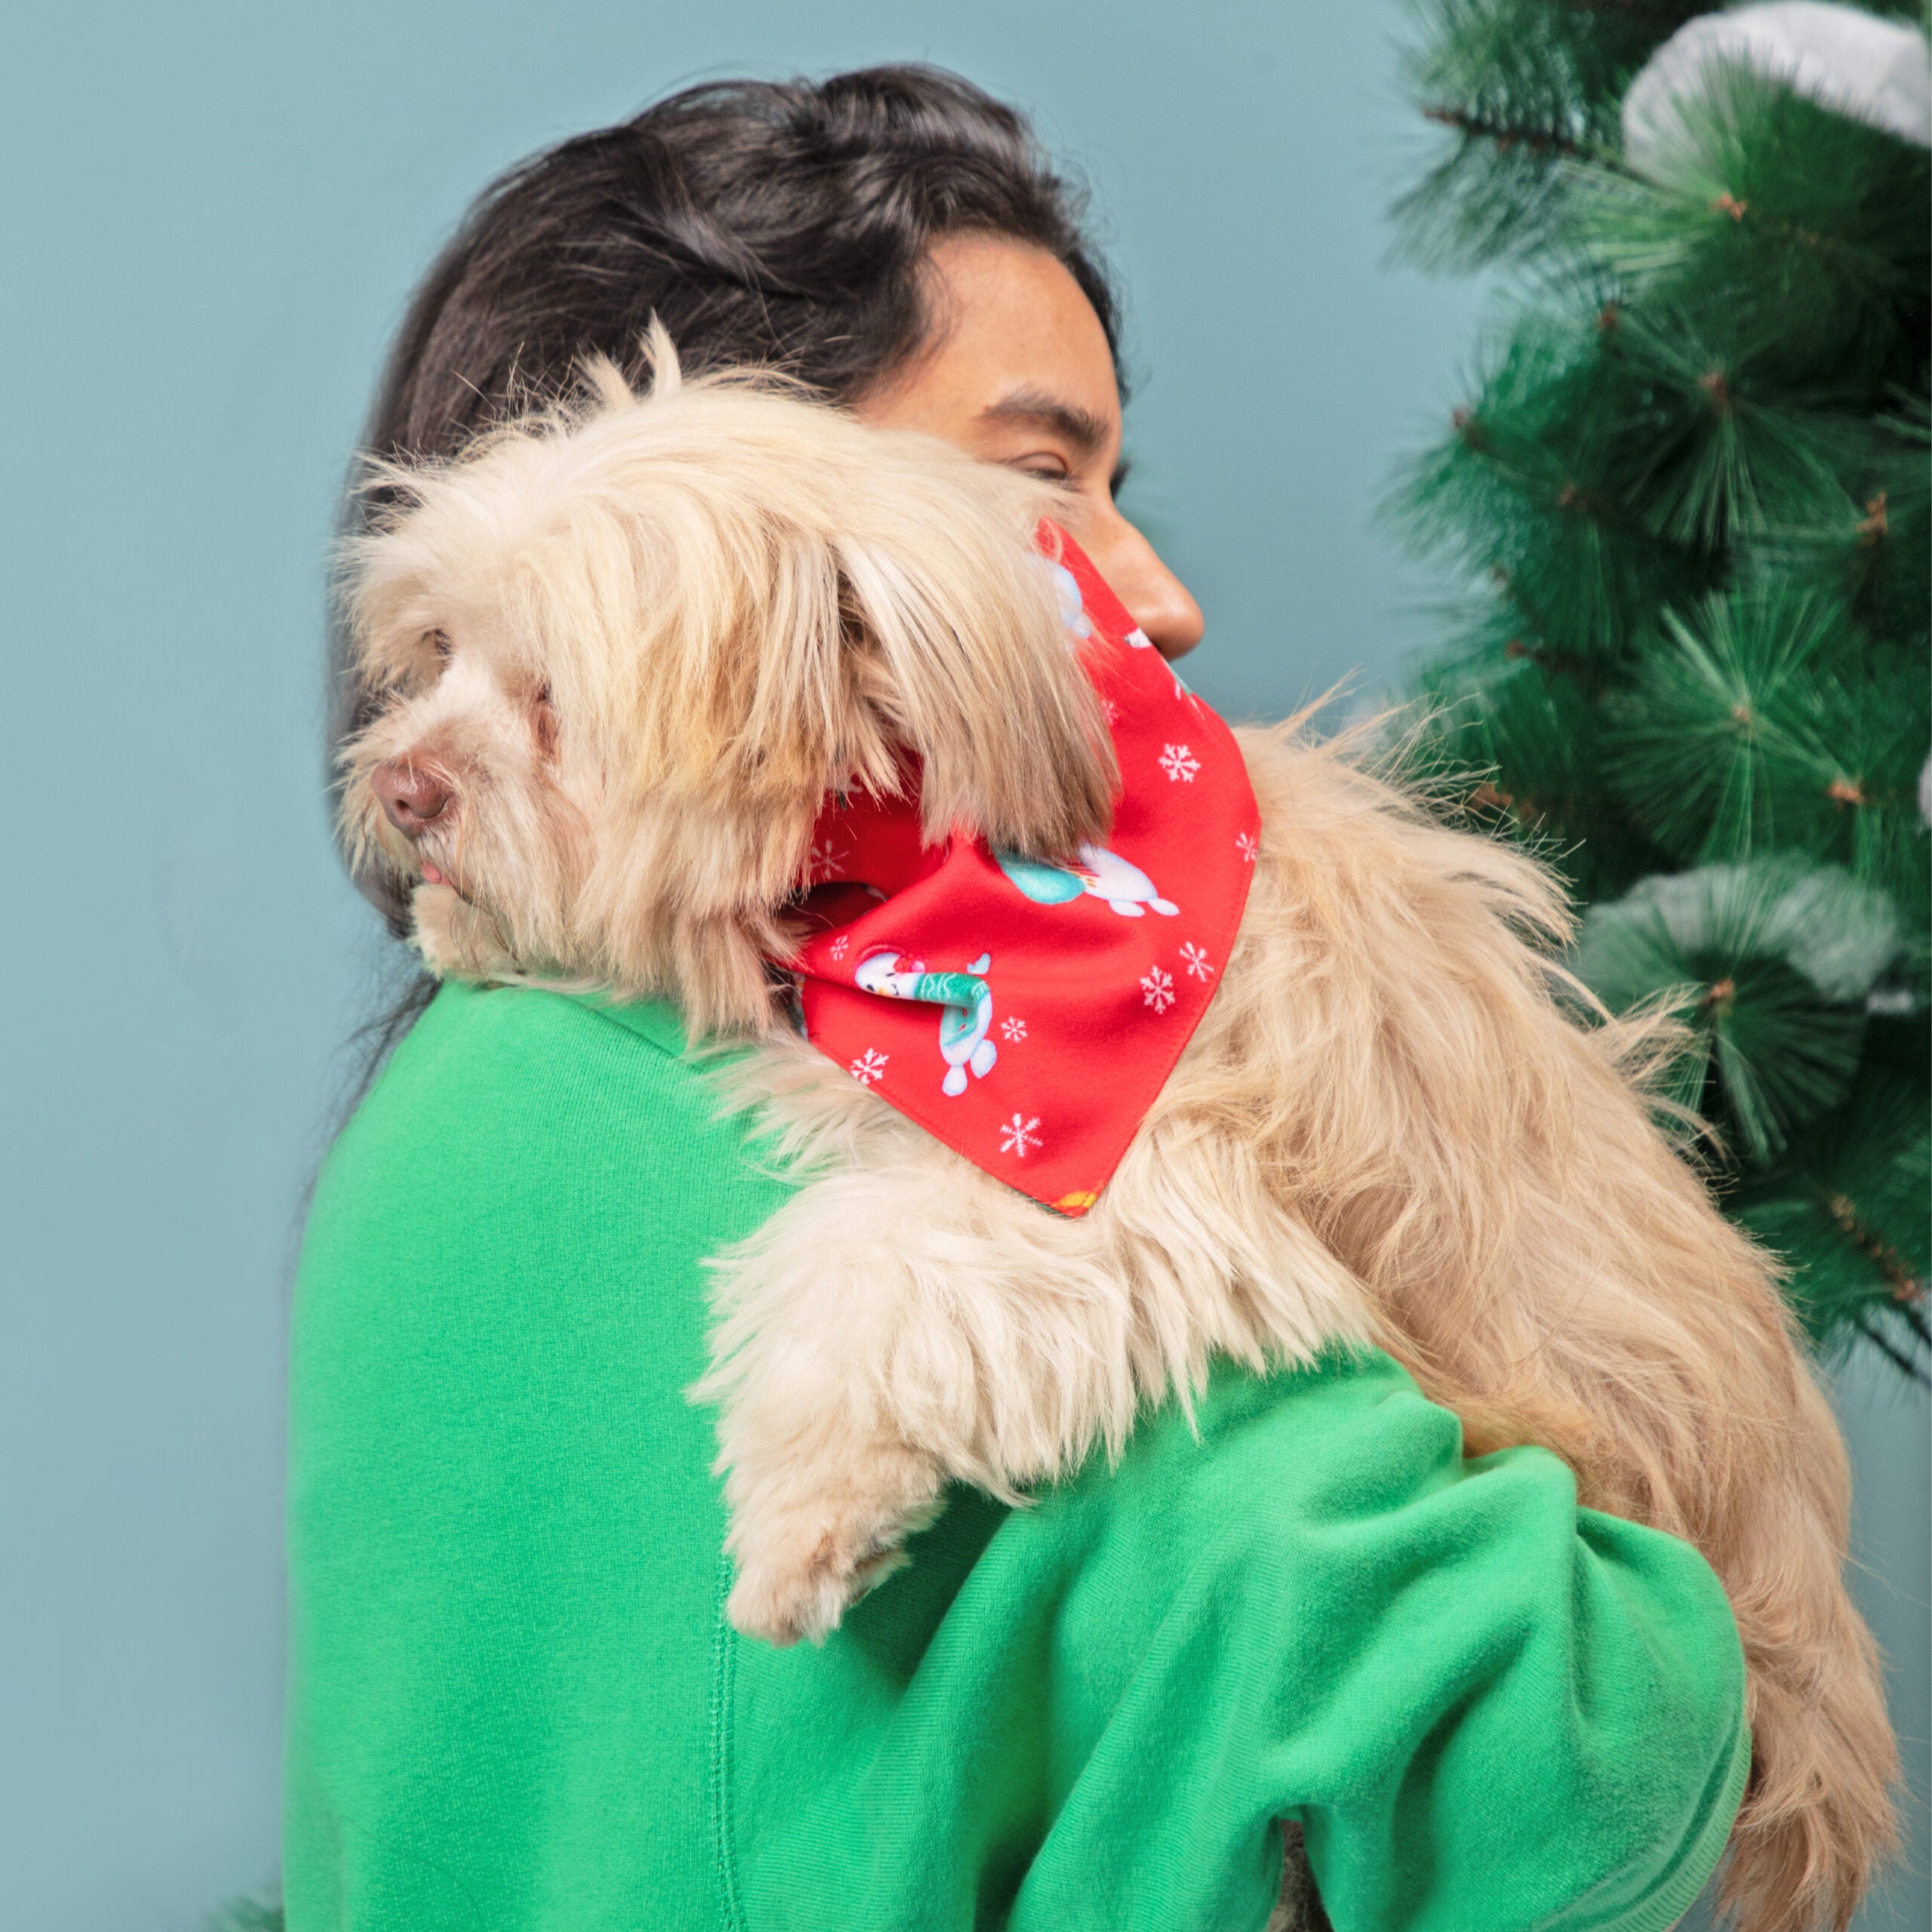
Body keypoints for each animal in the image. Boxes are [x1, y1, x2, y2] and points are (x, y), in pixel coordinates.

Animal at [340, 336, 1893, 1932]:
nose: (400, 783)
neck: (937, 885)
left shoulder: (1122, 1173)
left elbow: (883, 1262)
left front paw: (802, 1516)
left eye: (549, 701)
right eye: (439, 653)